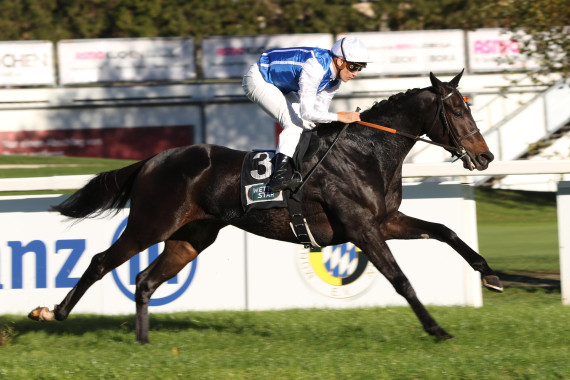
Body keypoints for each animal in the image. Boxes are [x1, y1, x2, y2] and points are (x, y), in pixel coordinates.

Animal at [30, 70, 502, 342]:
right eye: (456, 110)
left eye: (468, 106)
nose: (485, 157)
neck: (365, 151)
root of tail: (152, 160)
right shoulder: (361, 227)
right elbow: (400, 279)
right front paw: (437, 329)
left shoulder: (386, 220)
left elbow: (446, 231)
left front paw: (492, 276)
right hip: (151, 224)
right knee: (100, 262)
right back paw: (52, 312)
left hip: (190, 238)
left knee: (145, 280)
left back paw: (143, 341)